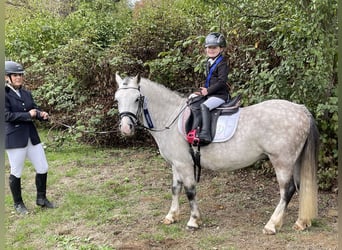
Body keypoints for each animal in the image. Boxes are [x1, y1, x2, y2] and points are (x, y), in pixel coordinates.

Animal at [114, 73, 318, 235]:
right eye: (117, 99)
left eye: (137, 99)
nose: (125, 128)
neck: (171, 117)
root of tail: (301, 109)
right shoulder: (176, 164)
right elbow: (175, 189)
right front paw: (171, 216)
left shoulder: (184, 164)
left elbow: (190, 191)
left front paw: (193, 220)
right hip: (294, 161)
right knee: (299, 186)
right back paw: (301, 222)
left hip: (282, 161)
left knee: (287, 190)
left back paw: (272, 225)